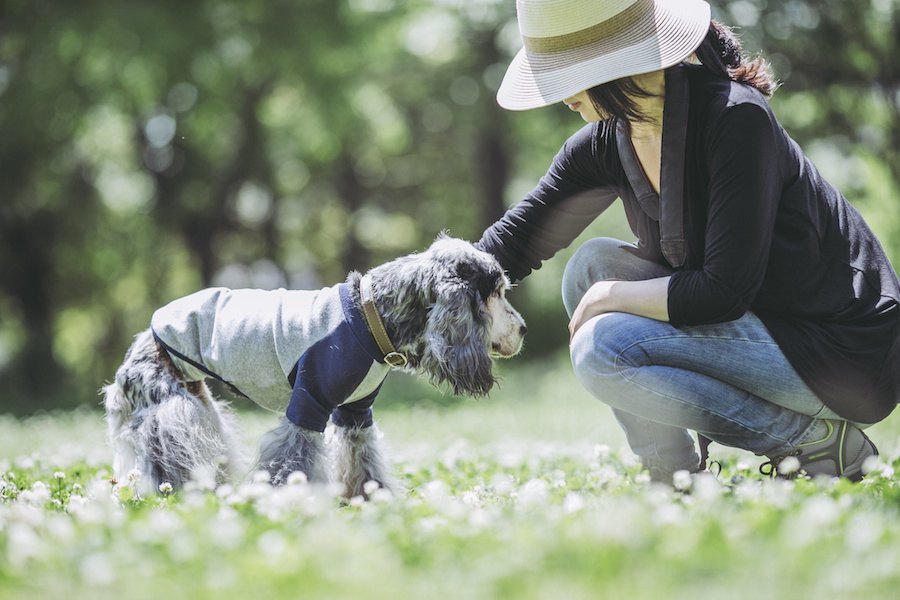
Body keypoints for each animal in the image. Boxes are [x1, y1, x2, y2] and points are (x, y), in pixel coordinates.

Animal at [103, 237, 528, 500]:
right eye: (496, 292)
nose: (524, 329)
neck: (373, 317)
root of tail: (143, 340)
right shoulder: (308, 406)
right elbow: (292, 463)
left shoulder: (356, 413)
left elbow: (363, 462)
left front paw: (371, 502)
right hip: (171, 414)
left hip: (200, 407)